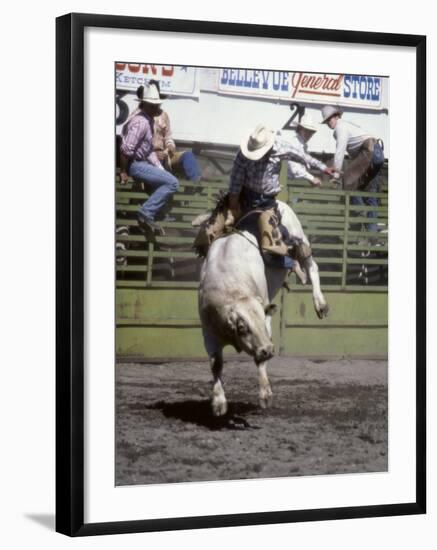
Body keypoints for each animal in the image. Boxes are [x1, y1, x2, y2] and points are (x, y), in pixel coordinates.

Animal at [198, 201, 328, 416]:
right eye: (242, 327)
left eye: (262, 319)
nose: (268, 350)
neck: (231, 288)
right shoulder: (209, 332)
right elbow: (216, 364)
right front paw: (218, 402)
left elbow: (260, 361)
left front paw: (265, 395)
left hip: (297, 235)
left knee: (311, 265)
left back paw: (321, 304)